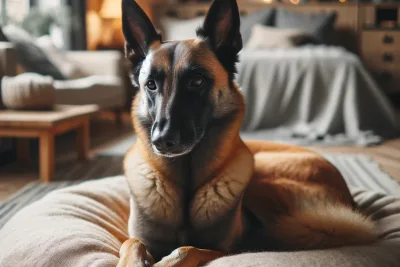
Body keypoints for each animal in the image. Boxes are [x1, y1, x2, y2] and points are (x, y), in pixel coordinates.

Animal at [117, 0, 376, 266]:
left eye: (196, 81)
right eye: (150, 85)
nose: (162, 141)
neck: (186, 182)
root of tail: (350, 199)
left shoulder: (223, 249)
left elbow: (186, 249)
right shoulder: (139, 239)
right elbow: (132, 243)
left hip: (263, 178)